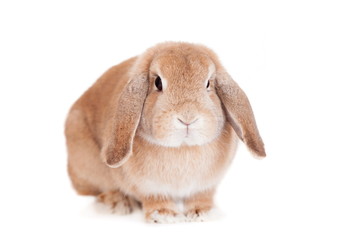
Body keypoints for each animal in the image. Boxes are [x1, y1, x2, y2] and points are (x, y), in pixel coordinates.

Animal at [64, 41, 266, 223]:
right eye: (158, 82)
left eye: (209, 83)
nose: (187, 117)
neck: (182, 148)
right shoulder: (148, 186)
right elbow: (155, 198)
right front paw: (164, 216)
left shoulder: (205, 185)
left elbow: (200, 197)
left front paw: (202, 213)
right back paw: (117, 203)